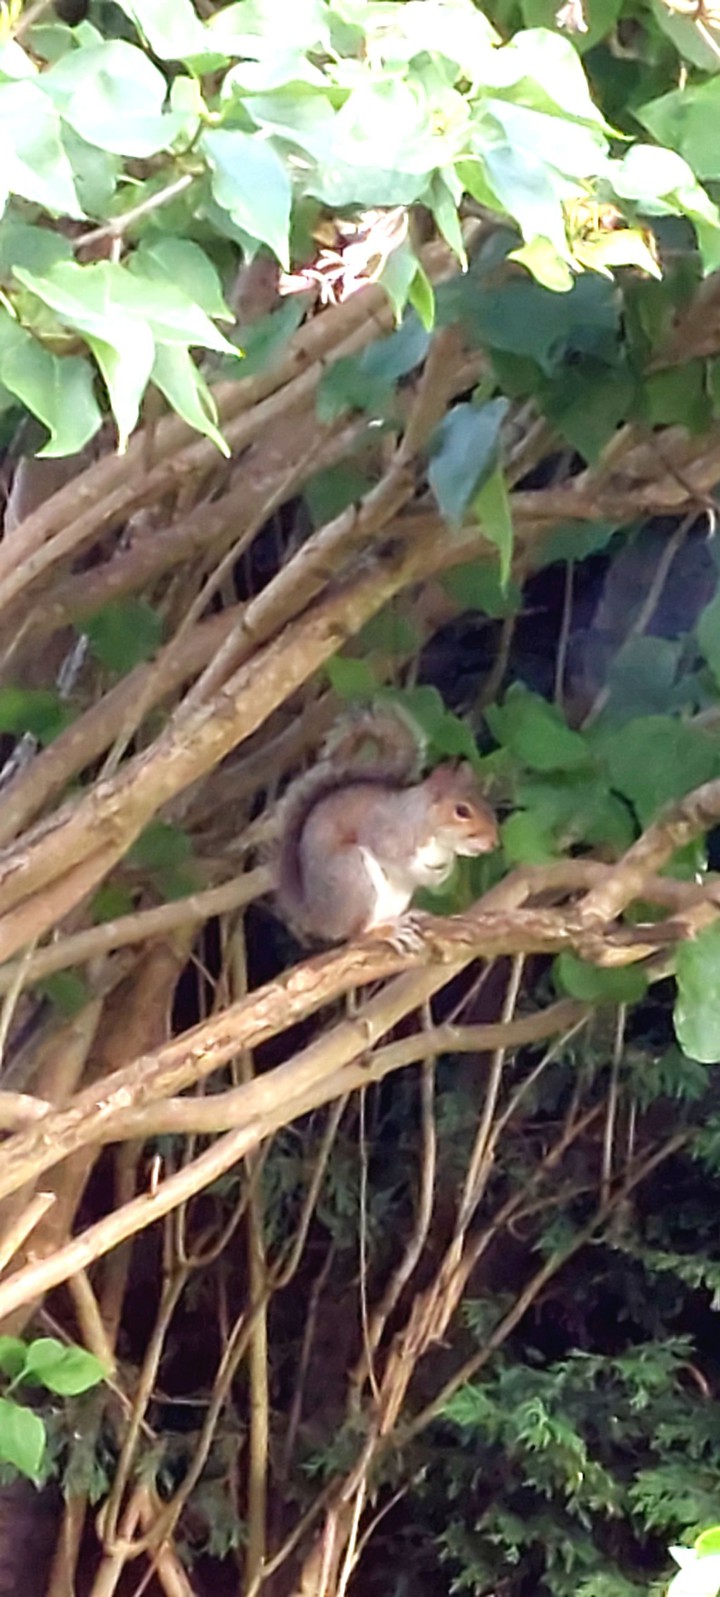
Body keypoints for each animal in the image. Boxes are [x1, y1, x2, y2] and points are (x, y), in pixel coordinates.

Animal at [275, 706, 499, 944]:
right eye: (461, 811)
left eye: (485, 800)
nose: (494, 841)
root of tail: (319, 918)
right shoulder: (388, 835)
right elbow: (396, 861)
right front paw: (425, 877)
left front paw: (444, 873)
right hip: (353, 875)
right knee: (359, 934)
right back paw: (389, 930)